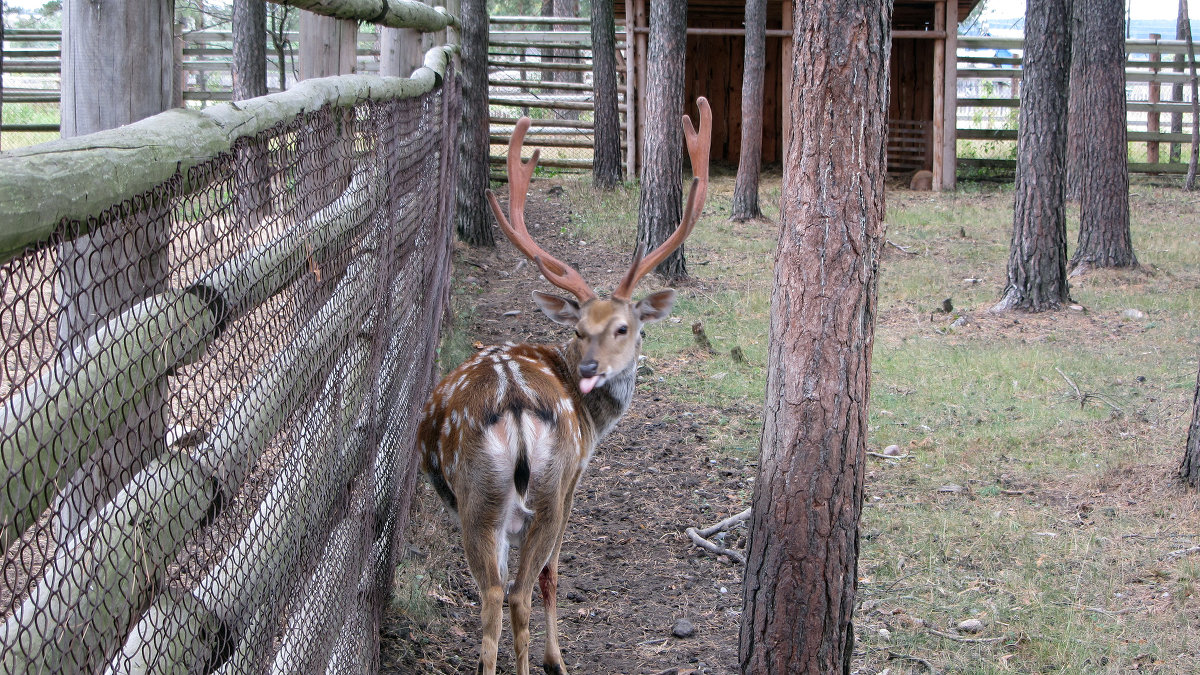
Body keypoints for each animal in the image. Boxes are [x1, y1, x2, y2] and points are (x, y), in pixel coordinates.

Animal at [417, 96, 705, 672]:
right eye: (578, 328)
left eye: (625, 327)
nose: (591, 369)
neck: (597, 423)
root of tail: (511, 400)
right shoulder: (575, 477)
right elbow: (555, 572)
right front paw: (556, 658)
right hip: (546, 489)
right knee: (523, 588)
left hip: (478, 500)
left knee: (492, 593)